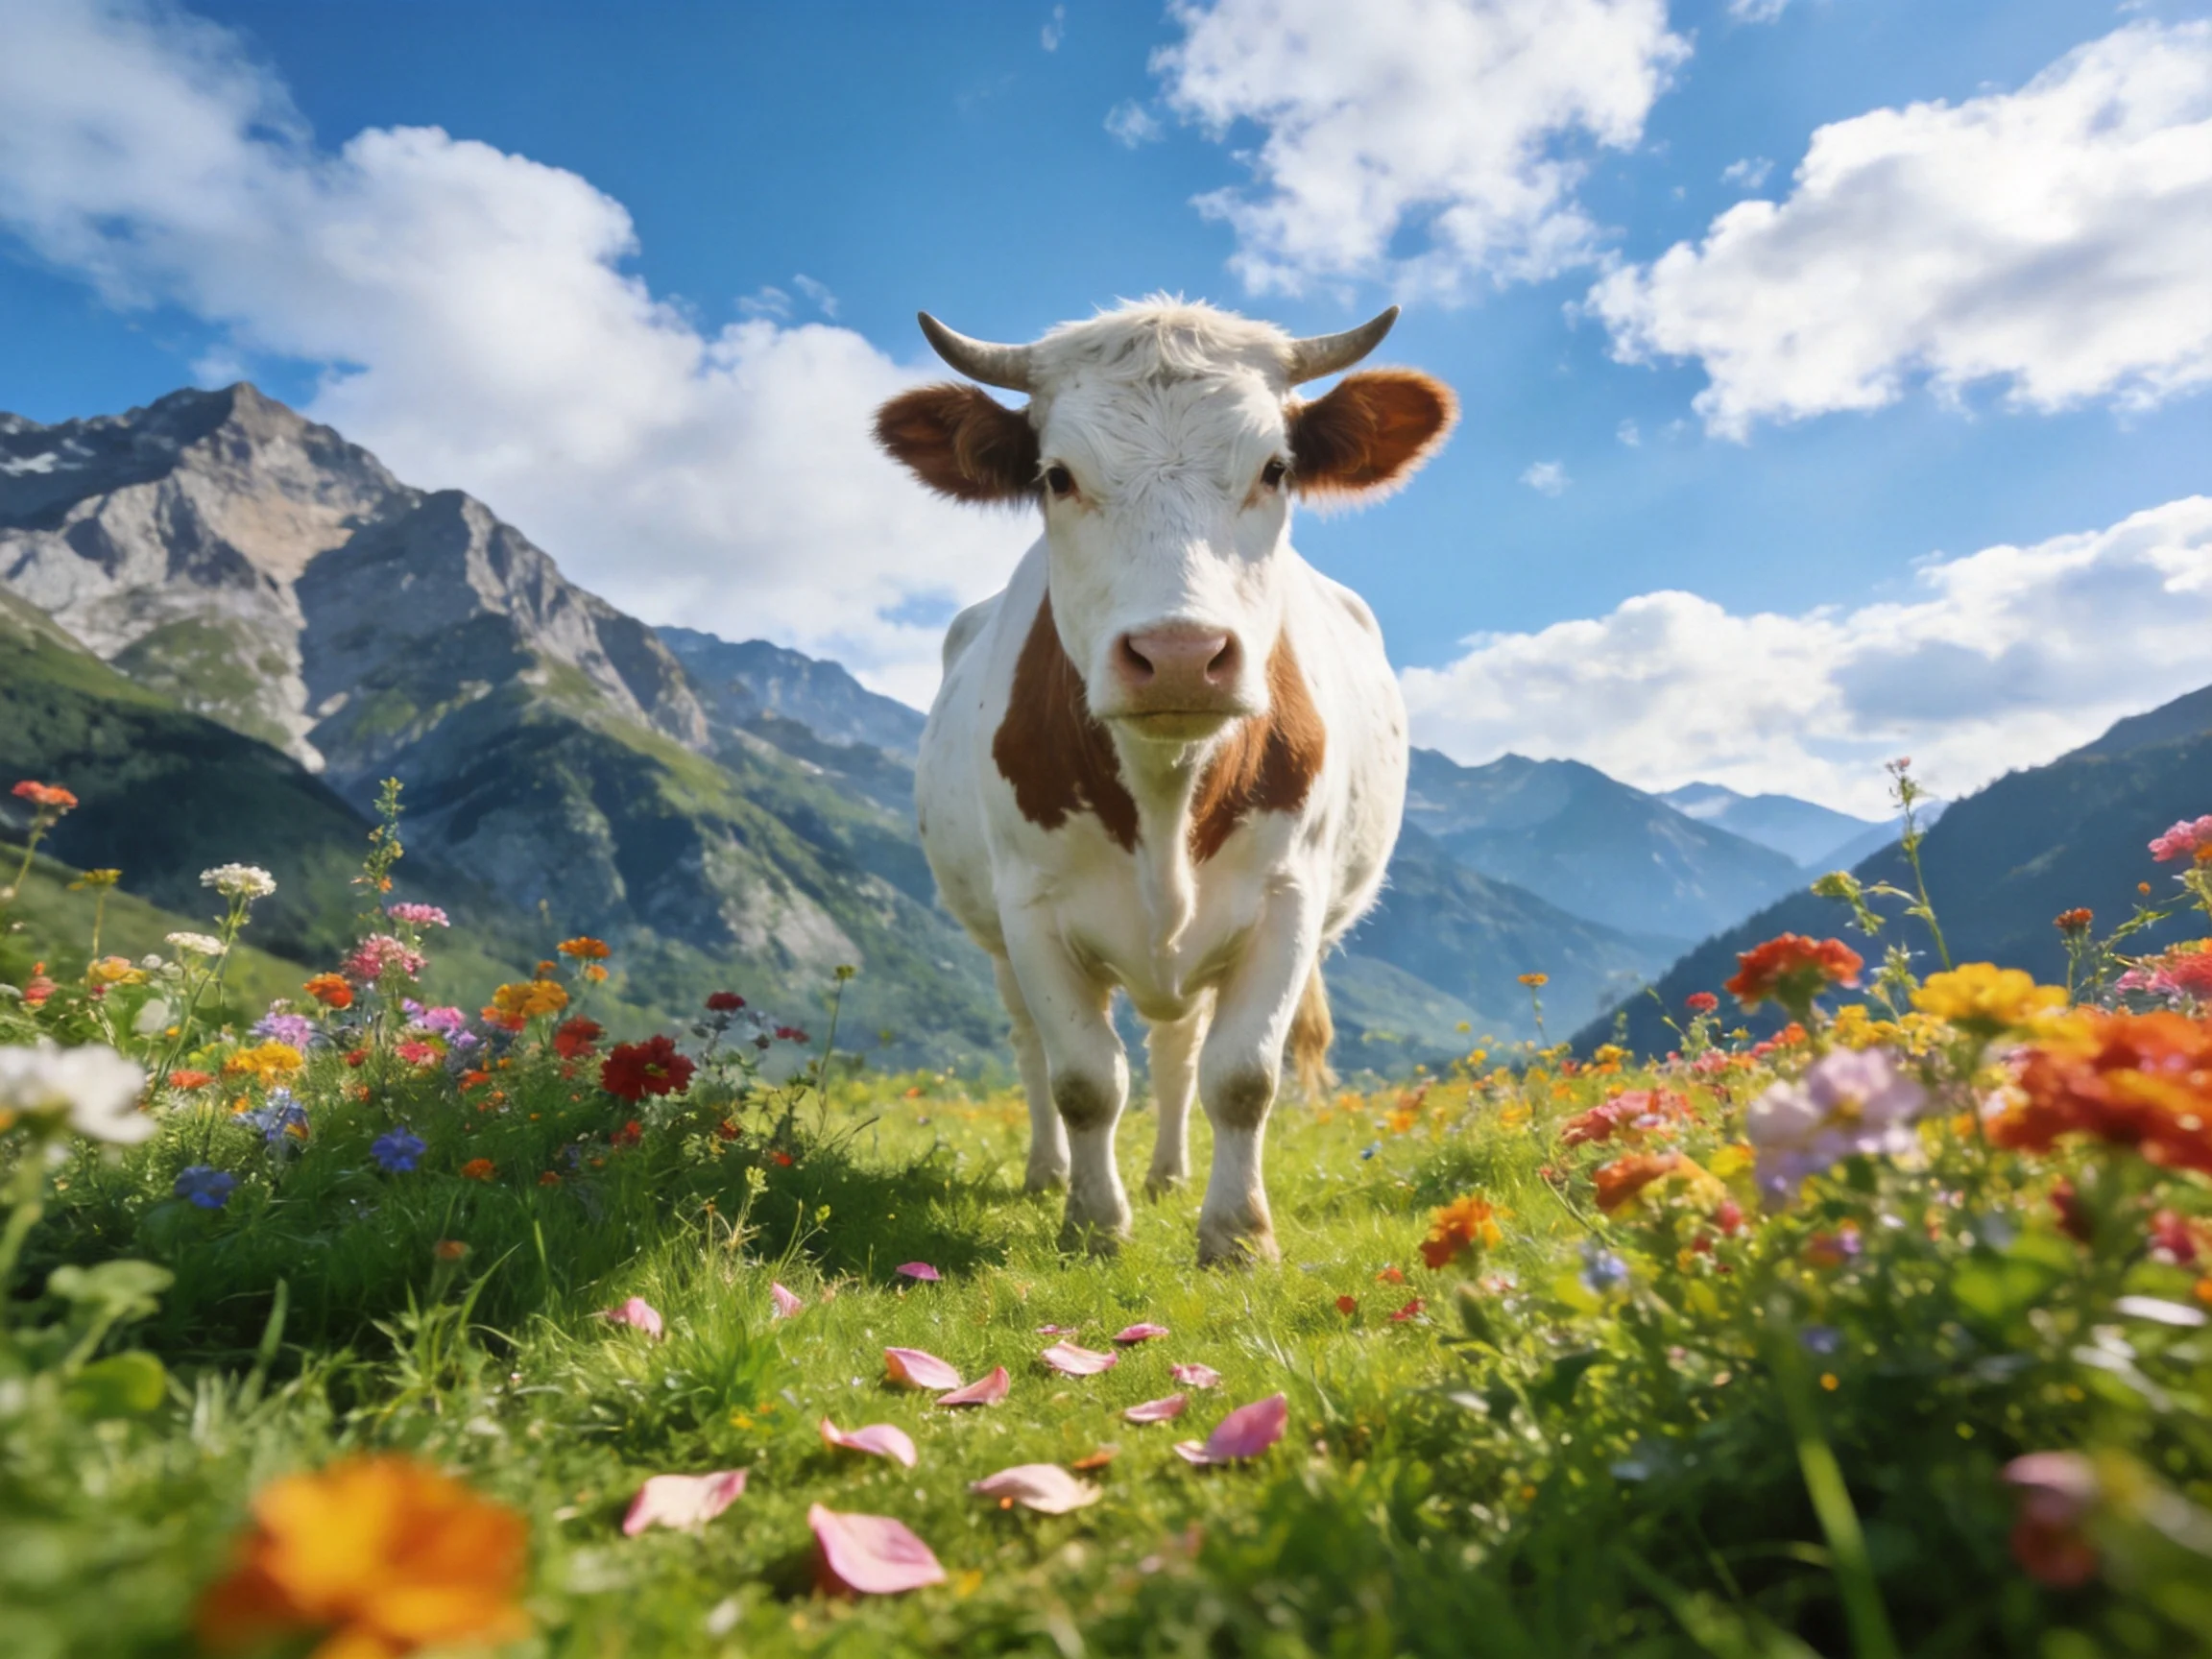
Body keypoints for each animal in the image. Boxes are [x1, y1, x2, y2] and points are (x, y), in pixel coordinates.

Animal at [875, 299, 1455, 1264]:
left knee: (1180, 1051)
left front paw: (1238, 1235)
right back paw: (1048, 1174)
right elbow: (1082, 1078)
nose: (1180, 654)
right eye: (1056, 477)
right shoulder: (1030, 908)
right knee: (1032, 1047)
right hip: (996, 935)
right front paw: (1093, 1224)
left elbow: (1241, 1077)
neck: (1164, 790)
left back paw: (1172, 1174)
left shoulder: (1288, 898)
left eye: (1275, 469)